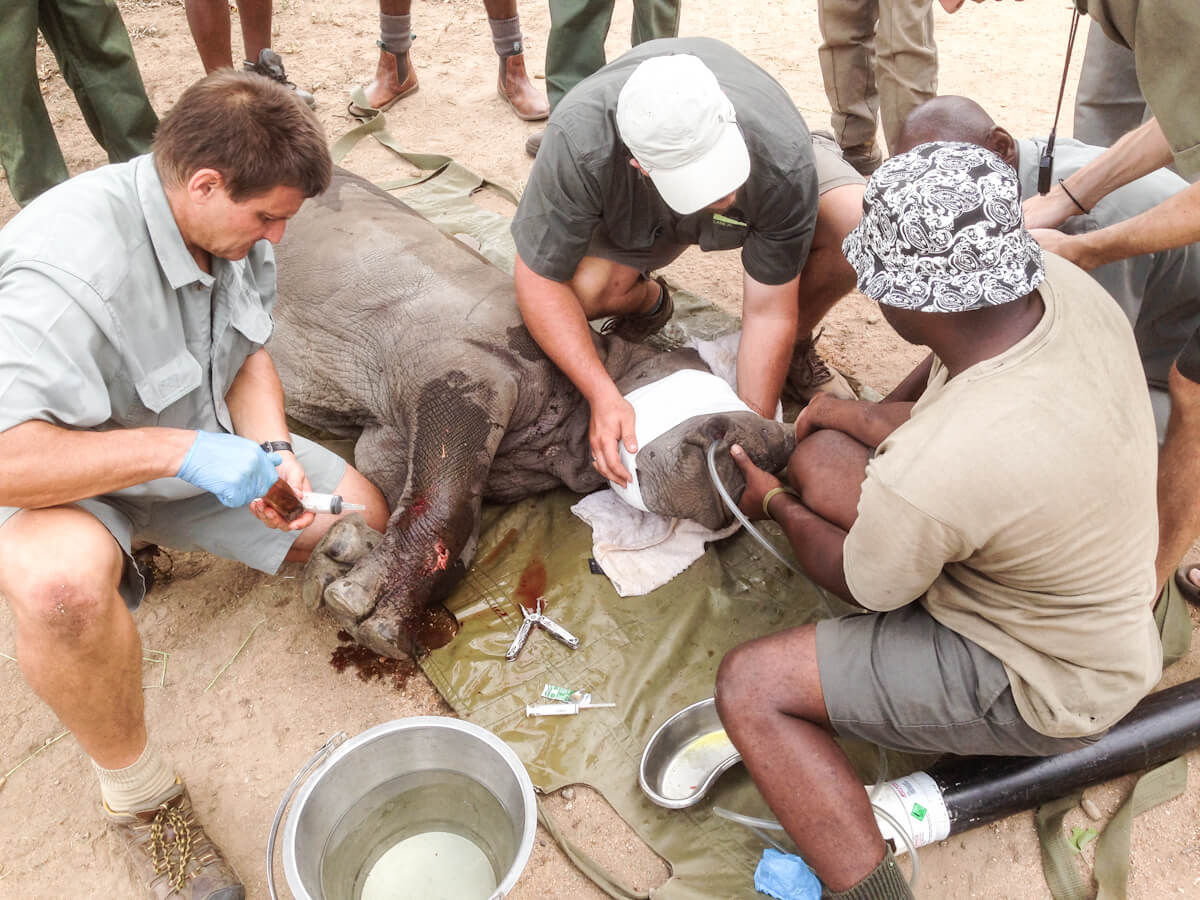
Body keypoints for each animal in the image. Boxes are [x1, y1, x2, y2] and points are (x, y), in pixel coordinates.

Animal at [272, 170, 796, 662]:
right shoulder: (463, 368)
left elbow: (438, 512)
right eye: (715, 392)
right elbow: (444, 497)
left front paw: (342, 556)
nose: (783, 445)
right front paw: (363, 612)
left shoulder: (393, 435)